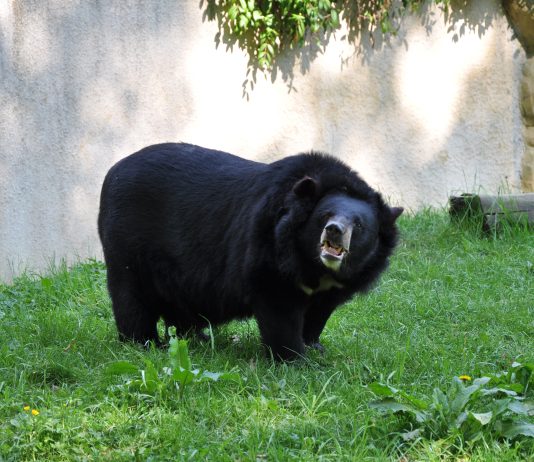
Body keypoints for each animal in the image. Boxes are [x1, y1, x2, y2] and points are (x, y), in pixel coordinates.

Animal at [98, 143, 404, 360]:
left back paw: (197, 338)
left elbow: (319, 313)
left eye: (359, 224)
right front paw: (294, 358)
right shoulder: (269, 249)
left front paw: (314, 347)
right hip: (128, 242)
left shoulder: (335, 286)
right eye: (324, 215)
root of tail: (112, 170)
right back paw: (144, 343)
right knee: (131, 297)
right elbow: (278, 306)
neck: (314, 266)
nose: (334, 230)